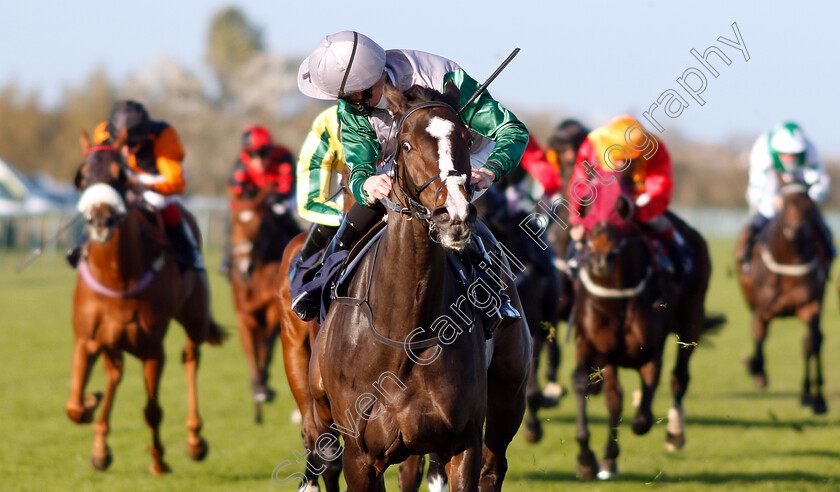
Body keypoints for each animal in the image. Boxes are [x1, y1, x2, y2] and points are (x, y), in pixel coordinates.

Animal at [66, 130, 225, 472]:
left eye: (121, 175)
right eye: (83, 176)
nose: (100, 220)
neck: (117, 277)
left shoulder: (153, 348)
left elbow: (152, 410)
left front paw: (159, 460)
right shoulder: (87, 339)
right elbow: (73, 407)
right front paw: (90, 404)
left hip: (195, 318)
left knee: (191, 358)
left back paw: (195, 440)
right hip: (113, 342)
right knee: (115, 374)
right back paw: (101, 446)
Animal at [230, 184, 302, 422]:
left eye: (260, 224)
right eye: (234, 221)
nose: (244, 266)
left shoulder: (272, 310)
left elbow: (264, 349)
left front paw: (263, 389)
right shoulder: (244, 314)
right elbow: (251, 350)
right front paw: (257, 390)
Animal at [568, 191, 712, 480]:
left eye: (620, 213)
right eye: (589, 210)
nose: (601, 258)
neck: (619, 294)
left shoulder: (651, 351)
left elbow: (642, 418)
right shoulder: (594, 345)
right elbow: (587, 385)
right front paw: (589, 459)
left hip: (692, 319)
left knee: (679, 377)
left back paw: (675, 433)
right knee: (614, 398)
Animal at [740, 180, 832, 412]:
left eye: (809, 205)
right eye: (786, 204)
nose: (797, 229)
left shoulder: (810, 306)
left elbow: (810, 344)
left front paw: (814, 399)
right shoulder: (762, 310)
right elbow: (759, 338)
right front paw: (756, 370)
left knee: (815, 341)